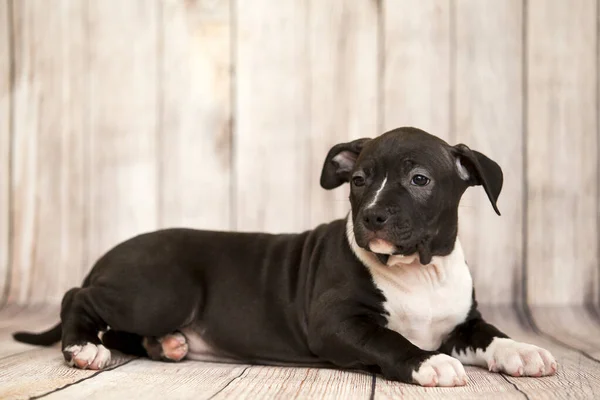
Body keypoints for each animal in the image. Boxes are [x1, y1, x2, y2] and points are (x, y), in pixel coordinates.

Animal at [15, 128, 556, 388]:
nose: (373, 217)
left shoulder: (463, 322)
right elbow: (390, 340)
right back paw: (82, 348)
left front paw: (523, 351)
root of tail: (112, 253)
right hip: (161, 291)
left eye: (419, 179)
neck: (419, 272)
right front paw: (429, 363)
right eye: (359, 181)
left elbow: (491, 334)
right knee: (77, 296)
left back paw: (164, 345)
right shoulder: (337, 324)